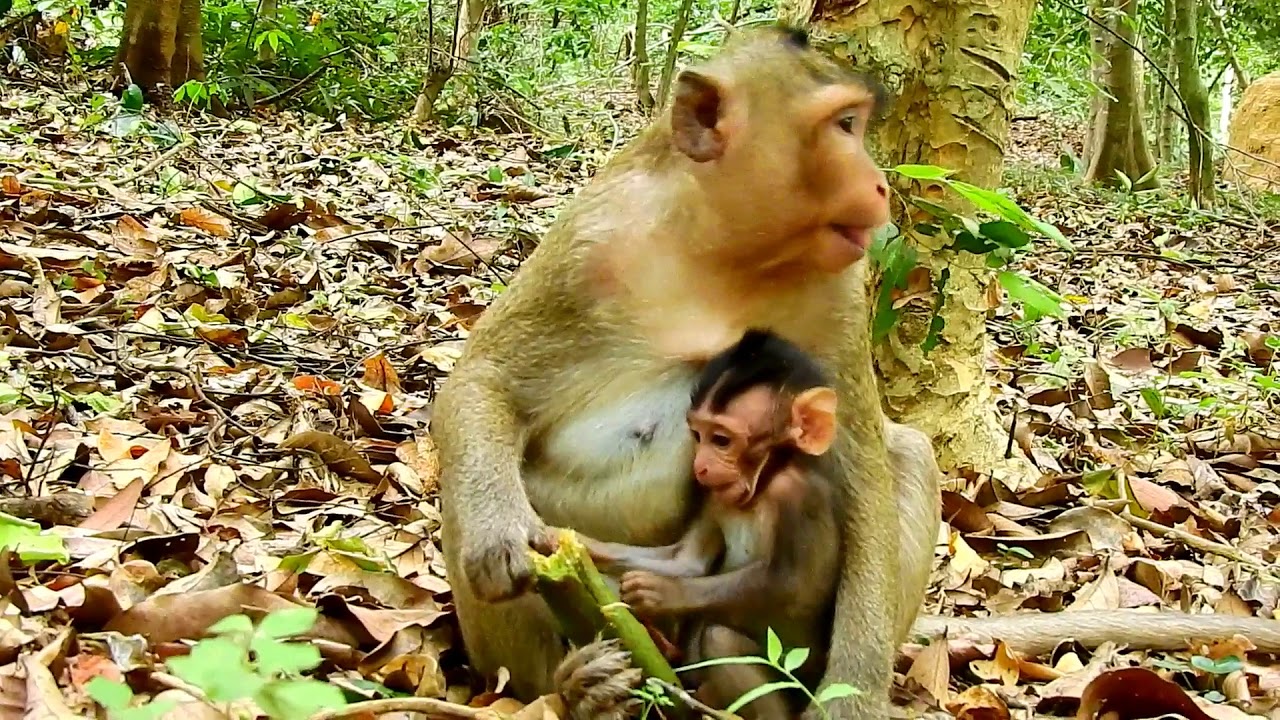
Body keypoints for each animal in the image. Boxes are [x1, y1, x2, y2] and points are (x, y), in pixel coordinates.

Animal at [568, 328, 844, 718]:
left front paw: (659, 593)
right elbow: (687, 561)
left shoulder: (801, 498)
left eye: (722, 440)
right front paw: (568, 542)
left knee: (720, 639)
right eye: (698, 436)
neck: (762, 486)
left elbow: (791, 585)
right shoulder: (715, 497)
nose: (699, 466)